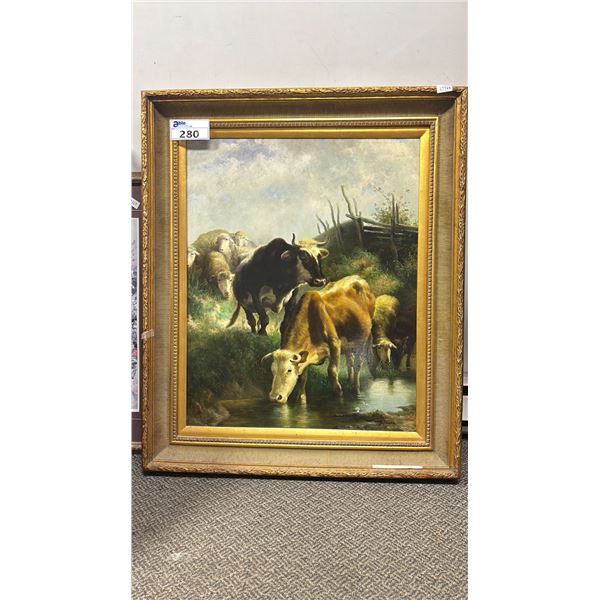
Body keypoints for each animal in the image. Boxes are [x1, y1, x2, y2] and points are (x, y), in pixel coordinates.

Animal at [261, 276, 375, 404]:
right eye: (272, 371)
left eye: (289, 370)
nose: (275, 397)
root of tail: (358, 278)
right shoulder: (306, 353)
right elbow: (303, 377)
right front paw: (301, 399)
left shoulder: (335, 344)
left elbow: (332, 370)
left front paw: (338, 393)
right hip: (350, 344)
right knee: (350, 361)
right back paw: (350, 384)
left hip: (363, 339)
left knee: (357, 364)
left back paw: (356, 389)